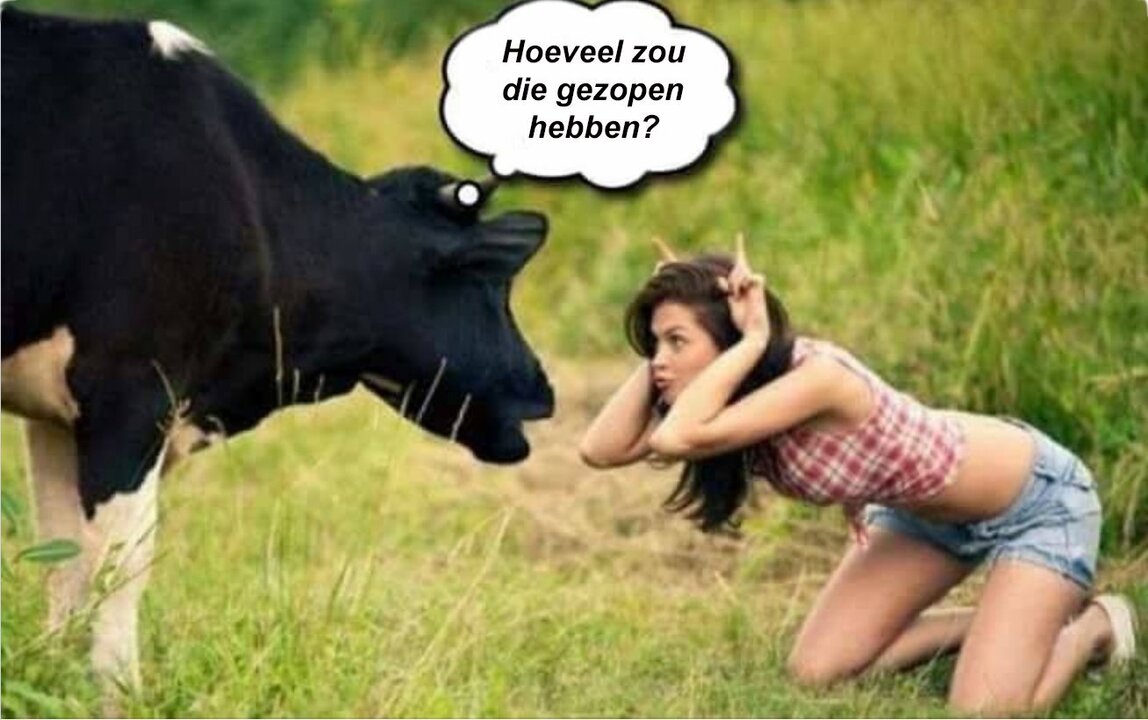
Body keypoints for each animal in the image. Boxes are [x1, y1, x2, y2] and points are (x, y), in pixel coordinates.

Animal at [0, 6, 555, 696]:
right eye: (493, 284)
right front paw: (117, 692)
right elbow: (122, 562)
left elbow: (63, 556)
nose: (543, 386)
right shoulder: (129, 391)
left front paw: (54, 679)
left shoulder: (57, 412)